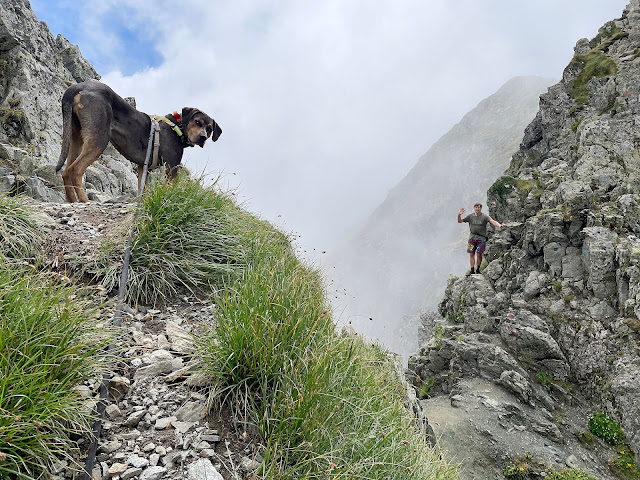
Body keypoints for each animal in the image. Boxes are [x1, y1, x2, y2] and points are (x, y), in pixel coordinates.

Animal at [55, 80, 222, 202]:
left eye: (209, 129)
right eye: (198, 122)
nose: (203, 137)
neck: (177, 126)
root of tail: (79, 86)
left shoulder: (144, 168)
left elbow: (143, 190)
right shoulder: (172, 166)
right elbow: (170, 187)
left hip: (76, 138)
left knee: (66, 171)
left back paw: (71, 200)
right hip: (98, 140)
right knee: (76, 170)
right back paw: (84, 200)